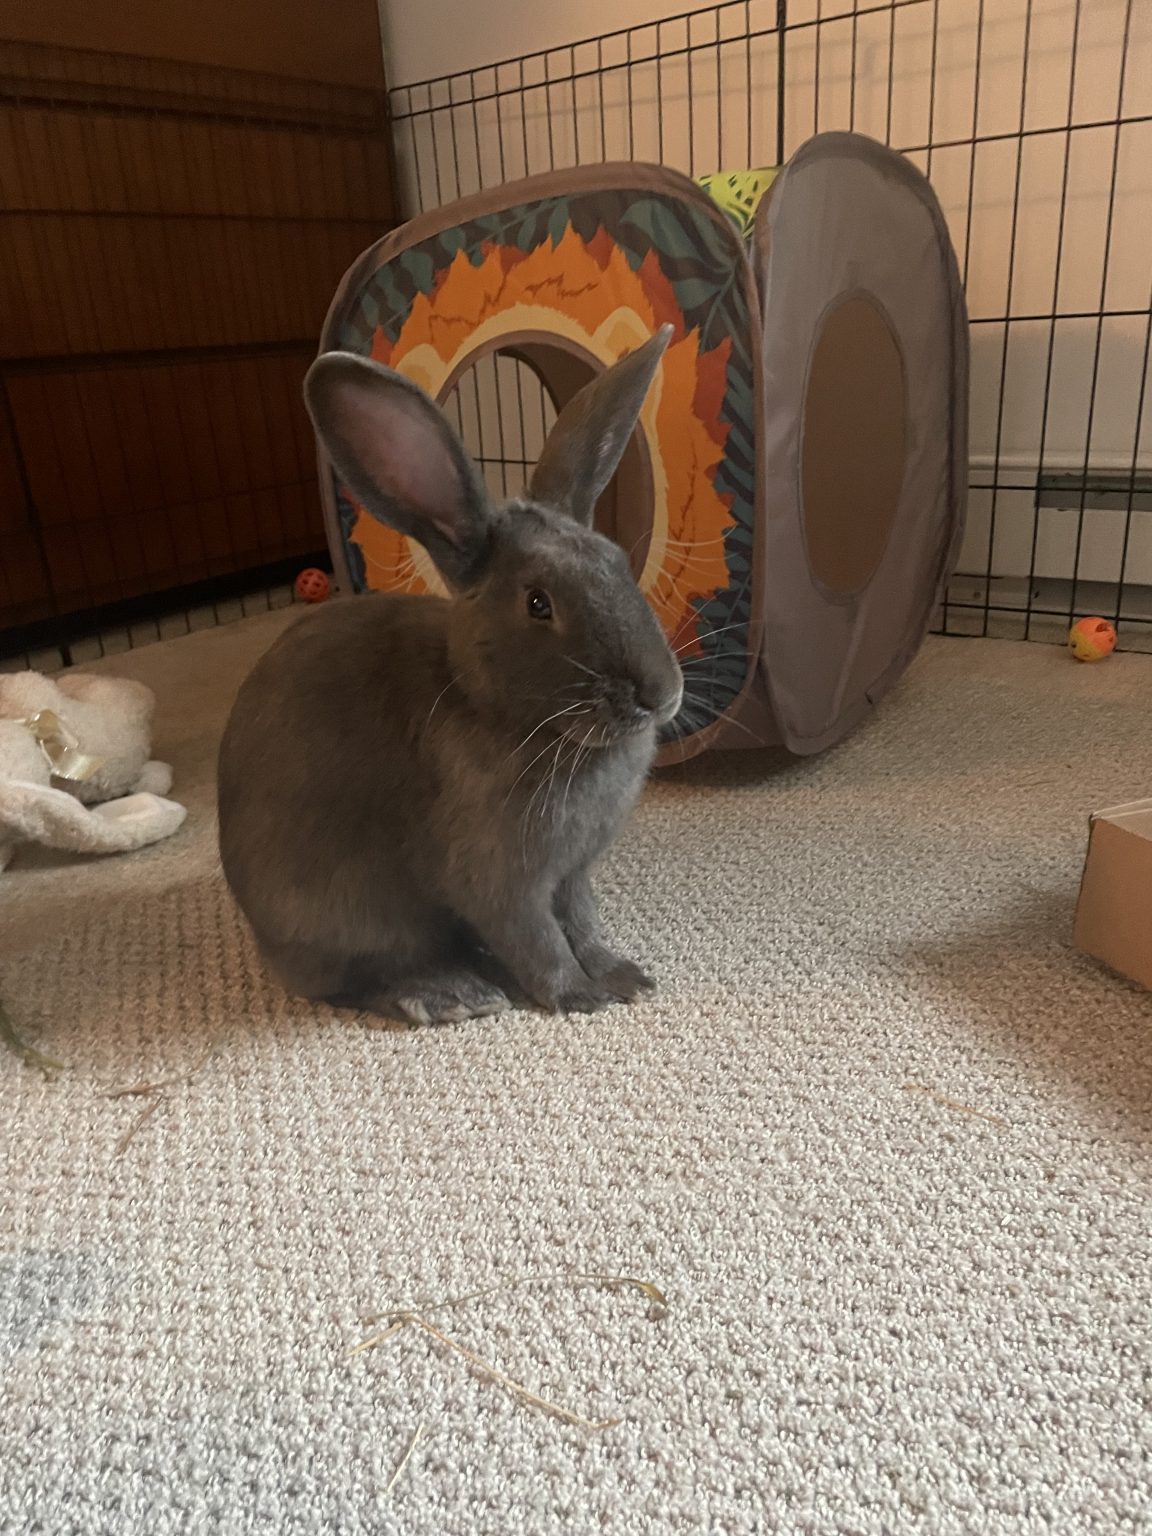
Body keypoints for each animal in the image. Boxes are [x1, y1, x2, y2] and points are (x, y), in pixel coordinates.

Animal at [217, 324, 682, 1027]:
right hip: (343, 915)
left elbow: (582, 924)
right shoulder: (501, 880)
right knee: (356, 981)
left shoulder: (571, 875)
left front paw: (622, 977)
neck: (496, 708)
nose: (661, 694)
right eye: (538, 603)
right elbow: (537, 939)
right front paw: (578, 996)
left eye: (619, 563)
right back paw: (452, 993)